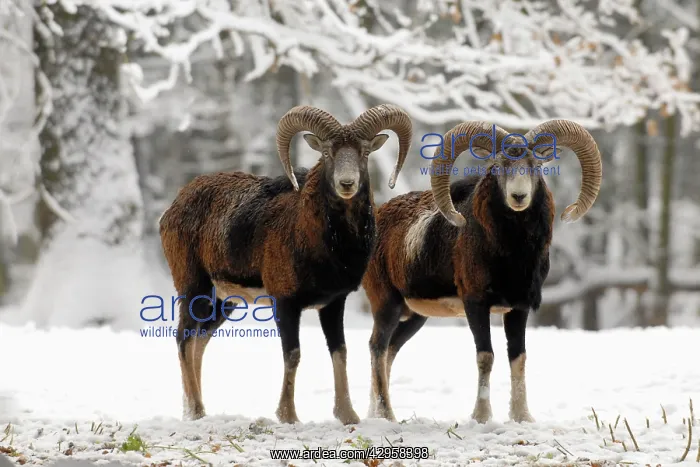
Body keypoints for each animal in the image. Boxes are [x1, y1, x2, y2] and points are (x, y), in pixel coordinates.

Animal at [159, 104, 413, 424]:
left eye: (364, 153)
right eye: (327, 152)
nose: (347, 184)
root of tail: (173, 208)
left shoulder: (333, 304)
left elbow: (339, 351)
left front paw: (348, 416)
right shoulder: (285, 304)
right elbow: (292, 354)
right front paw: (288, 415)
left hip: (224, 302)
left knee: (199, 342)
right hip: (194, 289)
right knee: (184, 338)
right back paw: (195, 411)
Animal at [361, 120, 602, 423]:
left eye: (536, 164)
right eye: (499, 165)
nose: (519, 196)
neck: (512, 255)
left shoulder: (518, 308)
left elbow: (518, 358)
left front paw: (522, 416)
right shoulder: (476, 304)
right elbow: (486, 356)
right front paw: (482, 417)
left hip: (414, 317)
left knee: (390, 352)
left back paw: (375, 415)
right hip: (387, 305)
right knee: (377, 348)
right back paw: (387, 415)